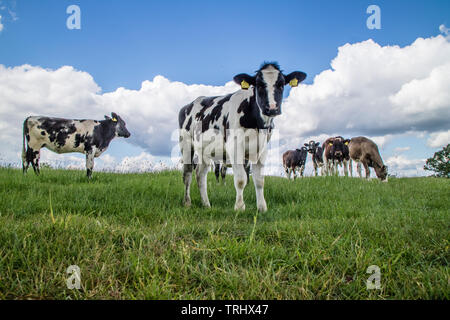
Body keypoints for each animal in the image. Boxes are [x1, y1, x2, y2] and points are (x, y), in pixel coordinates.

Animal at [178, 62, 306, 212]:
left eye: (281, 84)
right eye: (259, 85)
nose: (272, 108)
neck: (257, 123)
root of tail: (192, 102)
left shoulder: (262, 149)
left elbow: (259, 180)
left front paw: (262, 208)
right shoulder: (234, 147)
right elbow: (240, 179)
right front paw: (239, 207)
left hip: (204, 150)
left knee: (200, 174)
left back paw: (206, 204)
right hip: (186, 144)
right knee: (187, 173)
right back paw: (187, 202)